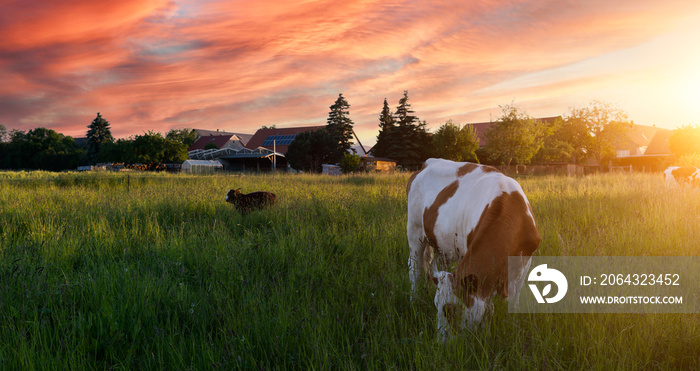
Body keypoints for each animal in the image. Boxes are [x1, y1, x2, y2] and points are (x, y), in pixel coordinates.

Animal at [408, 158, 540, 342]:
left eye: (451, 309)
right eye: (436, 306)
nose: (440, 342)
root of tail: (428, 162)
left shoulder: (525, 262)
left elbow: (514, 299)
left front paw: (510, 325)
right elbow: (488, 307)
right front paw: (485, 333)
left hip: (440, 245)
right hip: (415, 232)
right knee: (416, 270)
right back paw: (414, 300)